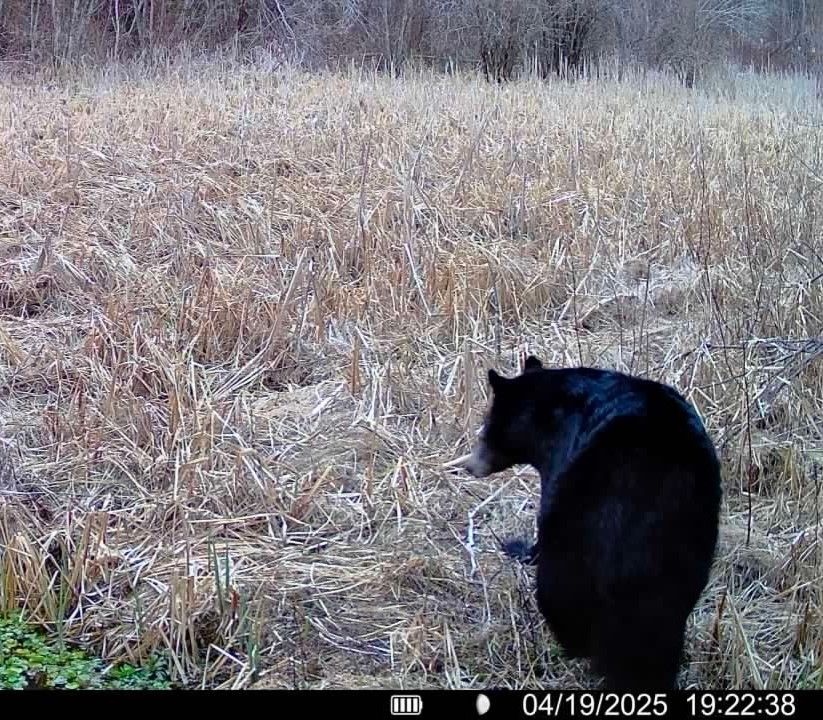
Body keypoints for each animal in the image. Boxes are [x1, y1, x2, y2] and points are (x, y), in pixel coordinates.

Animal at [461, 355, 721, 691]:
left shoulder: (558, 463)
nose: (469, 465)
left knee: (560, 593)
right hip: (689, 549)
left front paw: (519, 547)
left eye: (489, 423)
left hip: (579, 534)